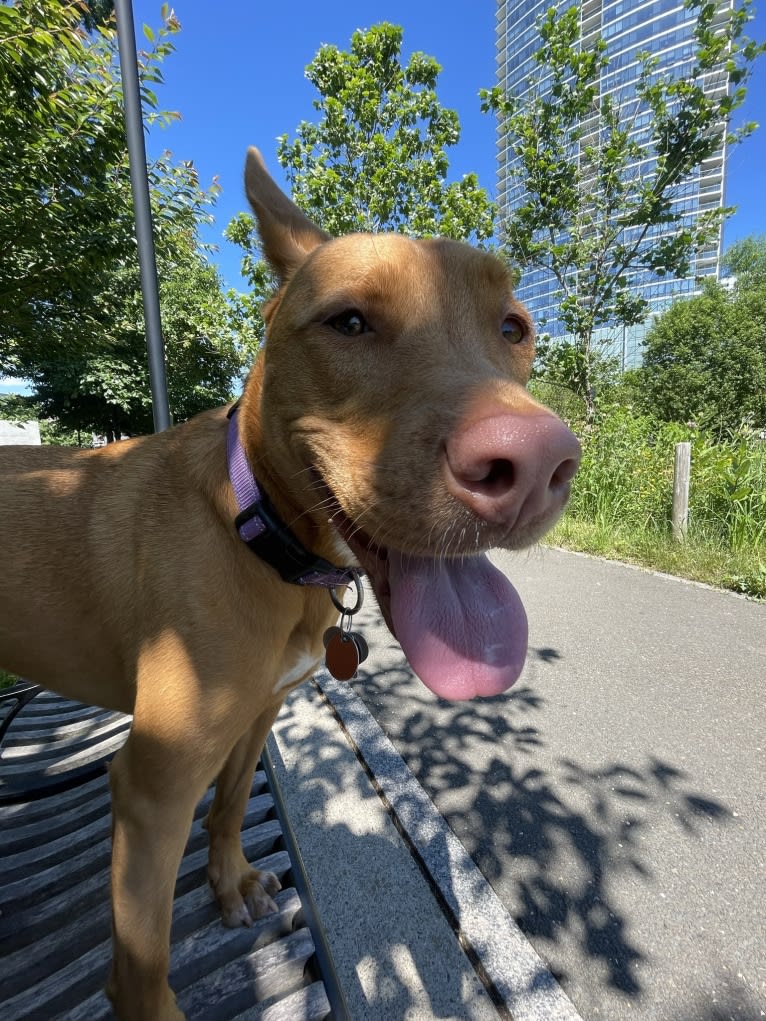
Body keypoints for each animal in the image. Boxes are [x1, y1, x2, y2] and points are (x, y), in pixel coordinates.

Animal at [0, 148, 580, 1016]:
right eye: (349, 322)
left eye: (514, 328)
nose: (539, 462)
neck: (253, 529)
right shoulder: (152, 787)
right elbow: (140, 966)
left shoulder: (257, 714)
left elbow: (234, 802)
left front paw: (230, 881)